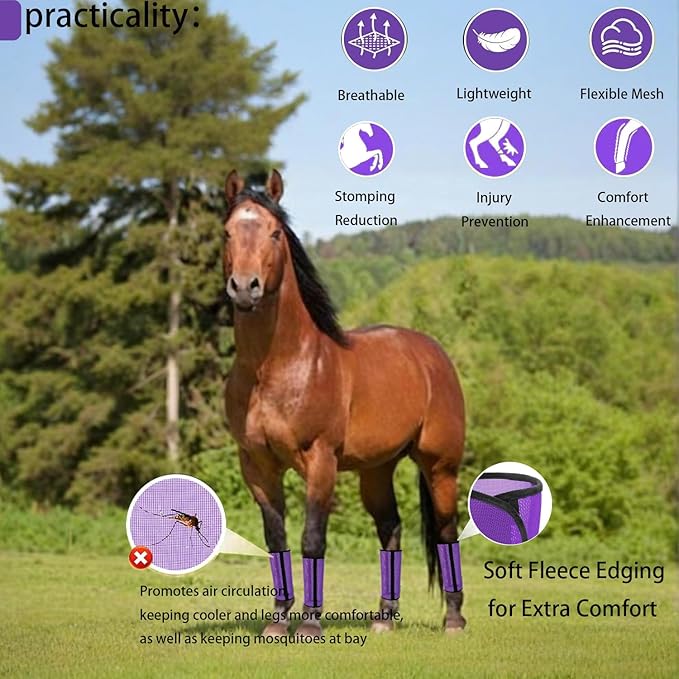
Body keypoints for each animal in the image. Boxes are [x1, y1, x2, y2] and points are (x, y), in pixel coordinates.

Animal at [222, 169, 465, 637]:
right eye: (226, 232)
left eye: (275, 232)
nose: (245, 288)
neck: (276, 367)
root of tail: (432, 354)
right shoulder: (257, 467)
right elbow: (276, 539)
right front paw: (278, 621)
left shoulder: (321, 461)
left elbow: (312, 538)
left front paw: (310, 624)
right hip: (376, 471)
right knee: (390, 528)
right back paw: (384, 618)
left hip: (440, 466)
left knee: (446, 531)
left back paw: (454, 619)